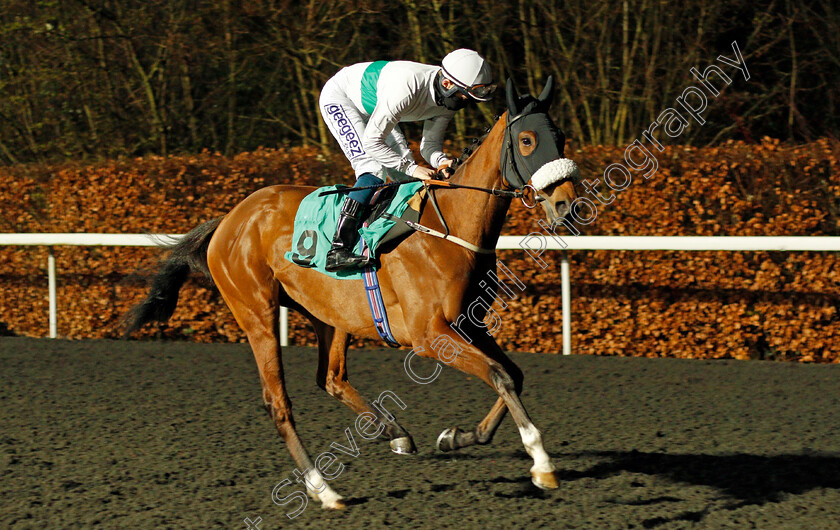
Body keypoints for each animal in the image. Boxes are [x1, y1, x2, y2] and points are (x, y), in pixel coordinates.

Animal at [124, 76, 580, 510]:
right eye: (527, 140)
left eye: (560, 136)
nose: (567, 205)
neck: (448, 228)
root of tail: (229, 219)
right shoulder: (430, 336)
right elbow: (500, 375)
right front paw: (542, 463)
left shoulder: (467, 326)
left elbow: (512, 375)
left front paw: (457, 437)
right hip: (257, 312)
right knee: (278, 403)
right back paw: (323, 490)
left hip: (329, 313)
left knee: (331, 377)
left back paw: (394, 434)